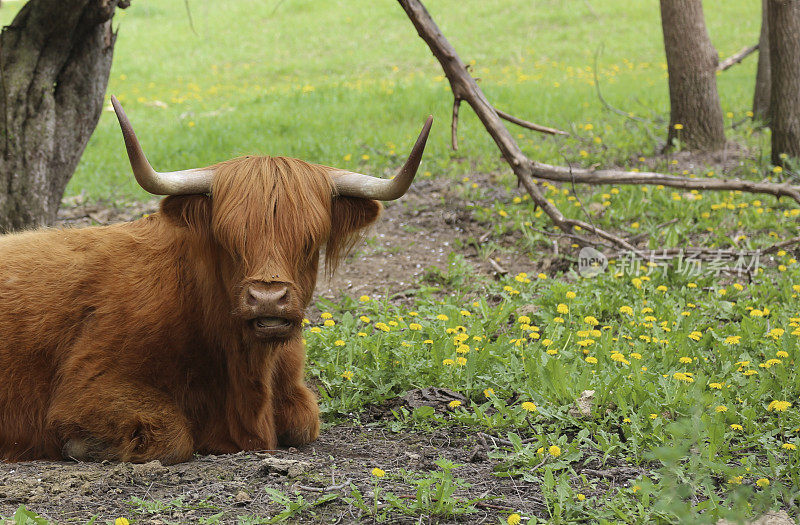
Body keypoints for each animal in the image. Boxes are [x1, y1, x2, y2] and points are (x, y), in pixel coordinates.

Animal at [0, 97, 432, 462]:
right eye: (227, 239)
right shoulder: (88, 387)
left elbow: (305, 421)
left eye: (310, 241)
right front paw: (84, 446)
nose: (268, 298)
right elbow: (173, 436)